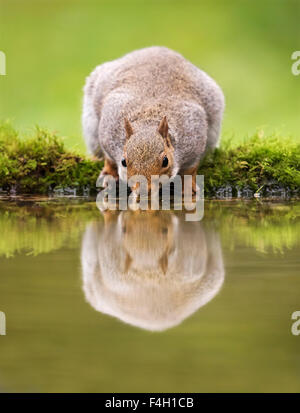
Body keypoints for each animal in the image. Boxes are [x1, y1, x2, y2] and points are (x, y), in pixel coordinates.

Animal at [82, 45, 225, 194]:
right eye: (123, 162)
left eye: (165, 161)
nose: (144, 189)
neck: (147, 122)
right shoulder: (108, 130)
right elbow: (109, 160)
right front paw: (108, 174)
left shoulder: (194, 135)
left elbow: (190, 169)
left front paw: (187, 186)